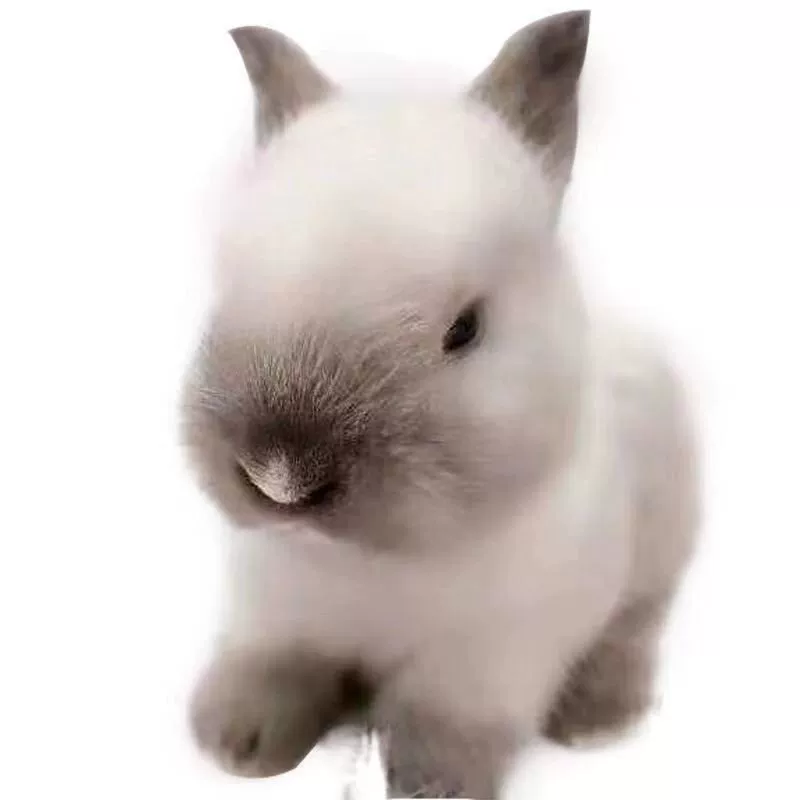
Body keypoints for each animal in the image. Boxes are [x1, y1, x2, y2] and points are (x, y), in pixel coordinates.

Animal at [181, 10, 701, 799]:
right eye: (230, 284)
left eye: (466, 330)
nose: (280, 477)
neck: (373, 561)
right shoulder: (276, 614)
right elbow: (274, 667)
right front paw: (238, 743)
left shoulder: (488, 659)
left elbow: (446, 719)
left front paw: (432, 784)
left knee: (634, 625)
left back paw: (596, 718)